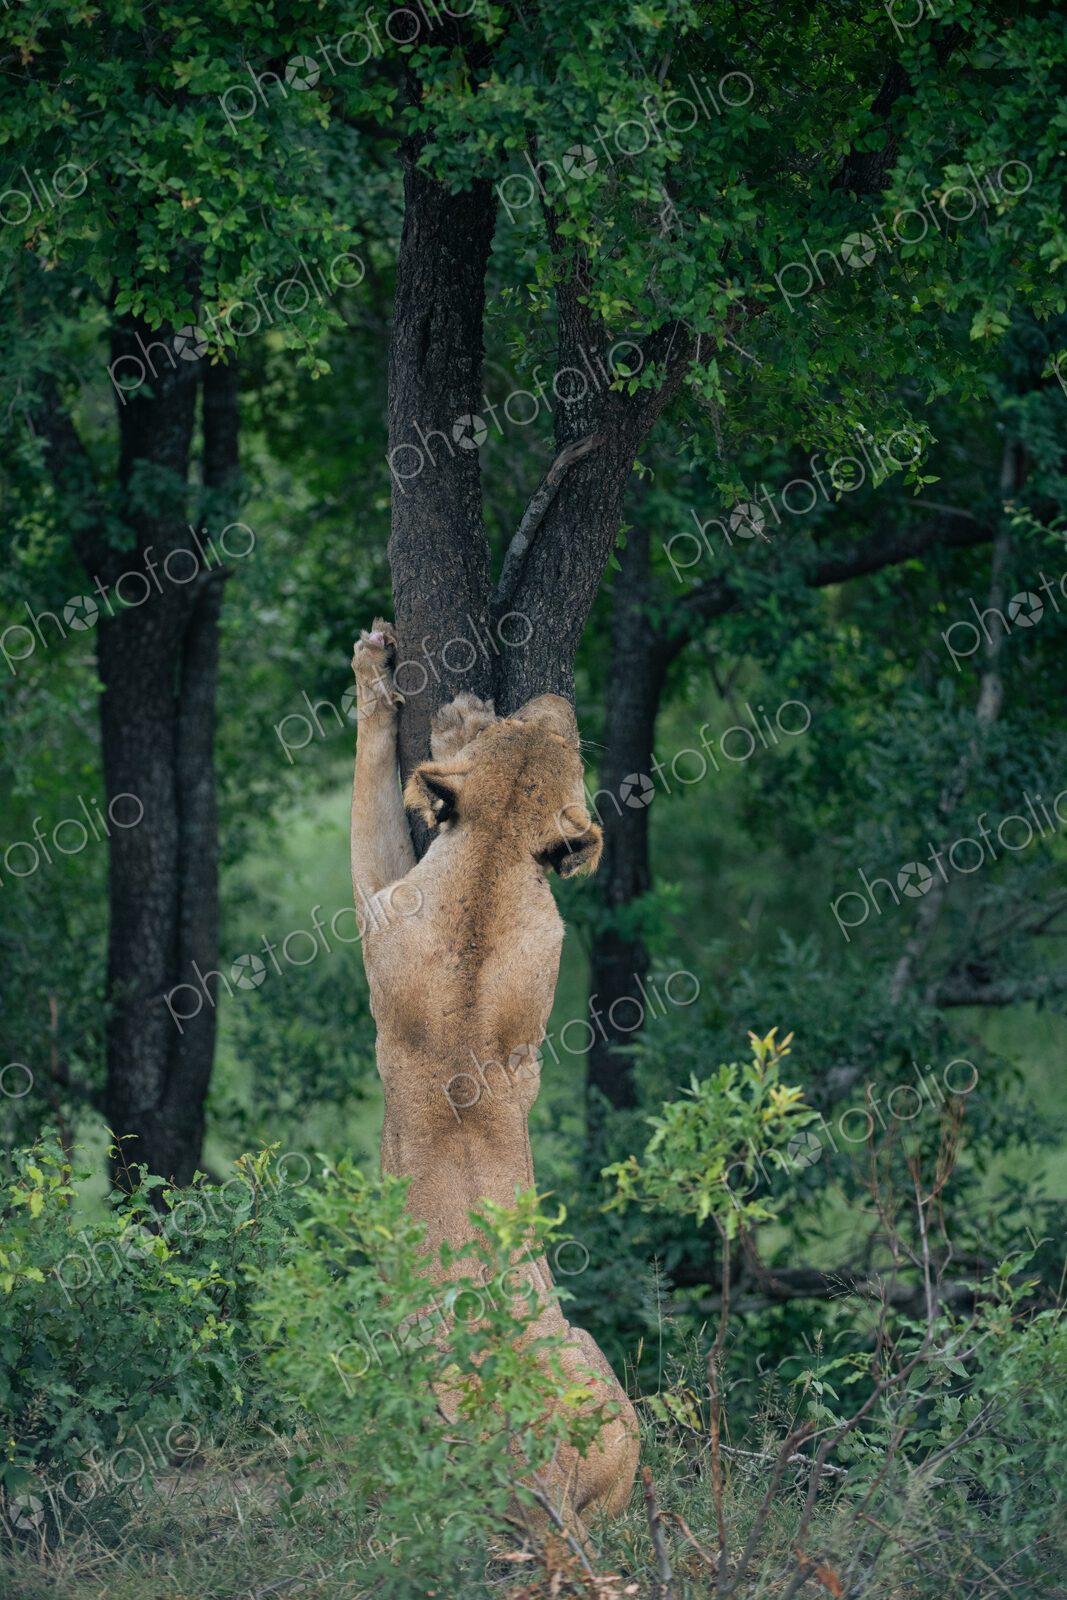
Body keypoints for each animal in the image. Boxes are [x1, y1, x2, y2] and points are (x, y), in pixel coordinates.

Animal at [348, 618, 640, 1534]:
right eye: (543, 735)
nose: (556, 699)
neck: (492, 854)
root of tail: (535, 1463)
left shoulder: (375, 902)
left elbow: (370, 785)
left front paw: (379, 670)